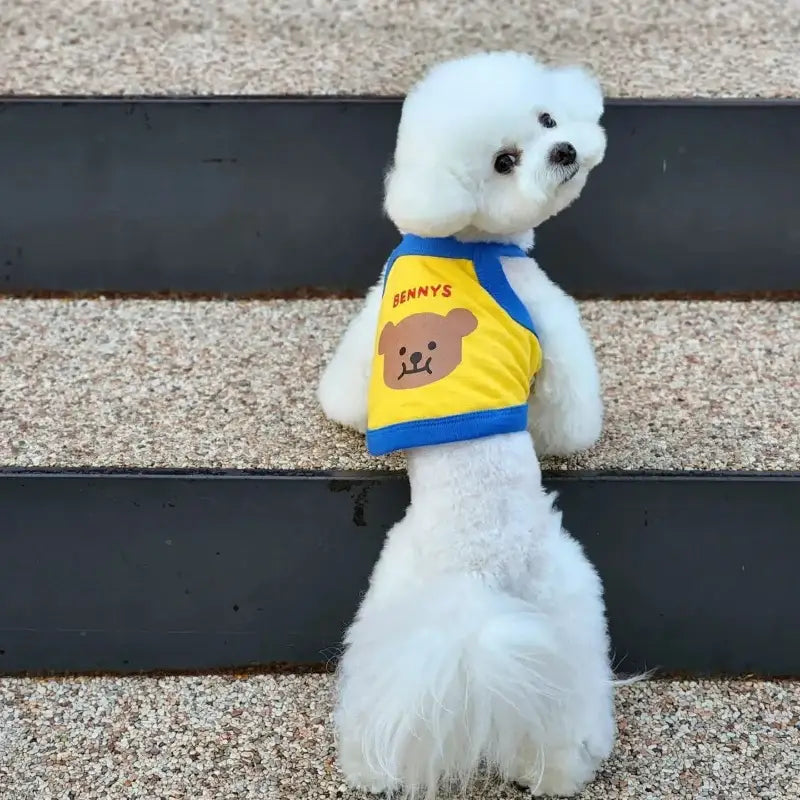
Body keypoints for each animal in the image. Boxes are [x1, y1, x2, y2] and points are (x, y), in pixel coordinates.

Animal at [318, 51, 620, 800]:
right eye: (505, 162)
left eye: (547, 117)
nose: (564, 150)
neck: (466, 240)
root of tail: (474, 586)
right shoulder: (547, 314)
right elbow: (571, 410)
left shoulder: (374, 312)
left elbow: (349, 387)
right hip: (567, 591)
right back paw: (573, 761)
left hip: (394, 605)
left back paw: (371, 769)